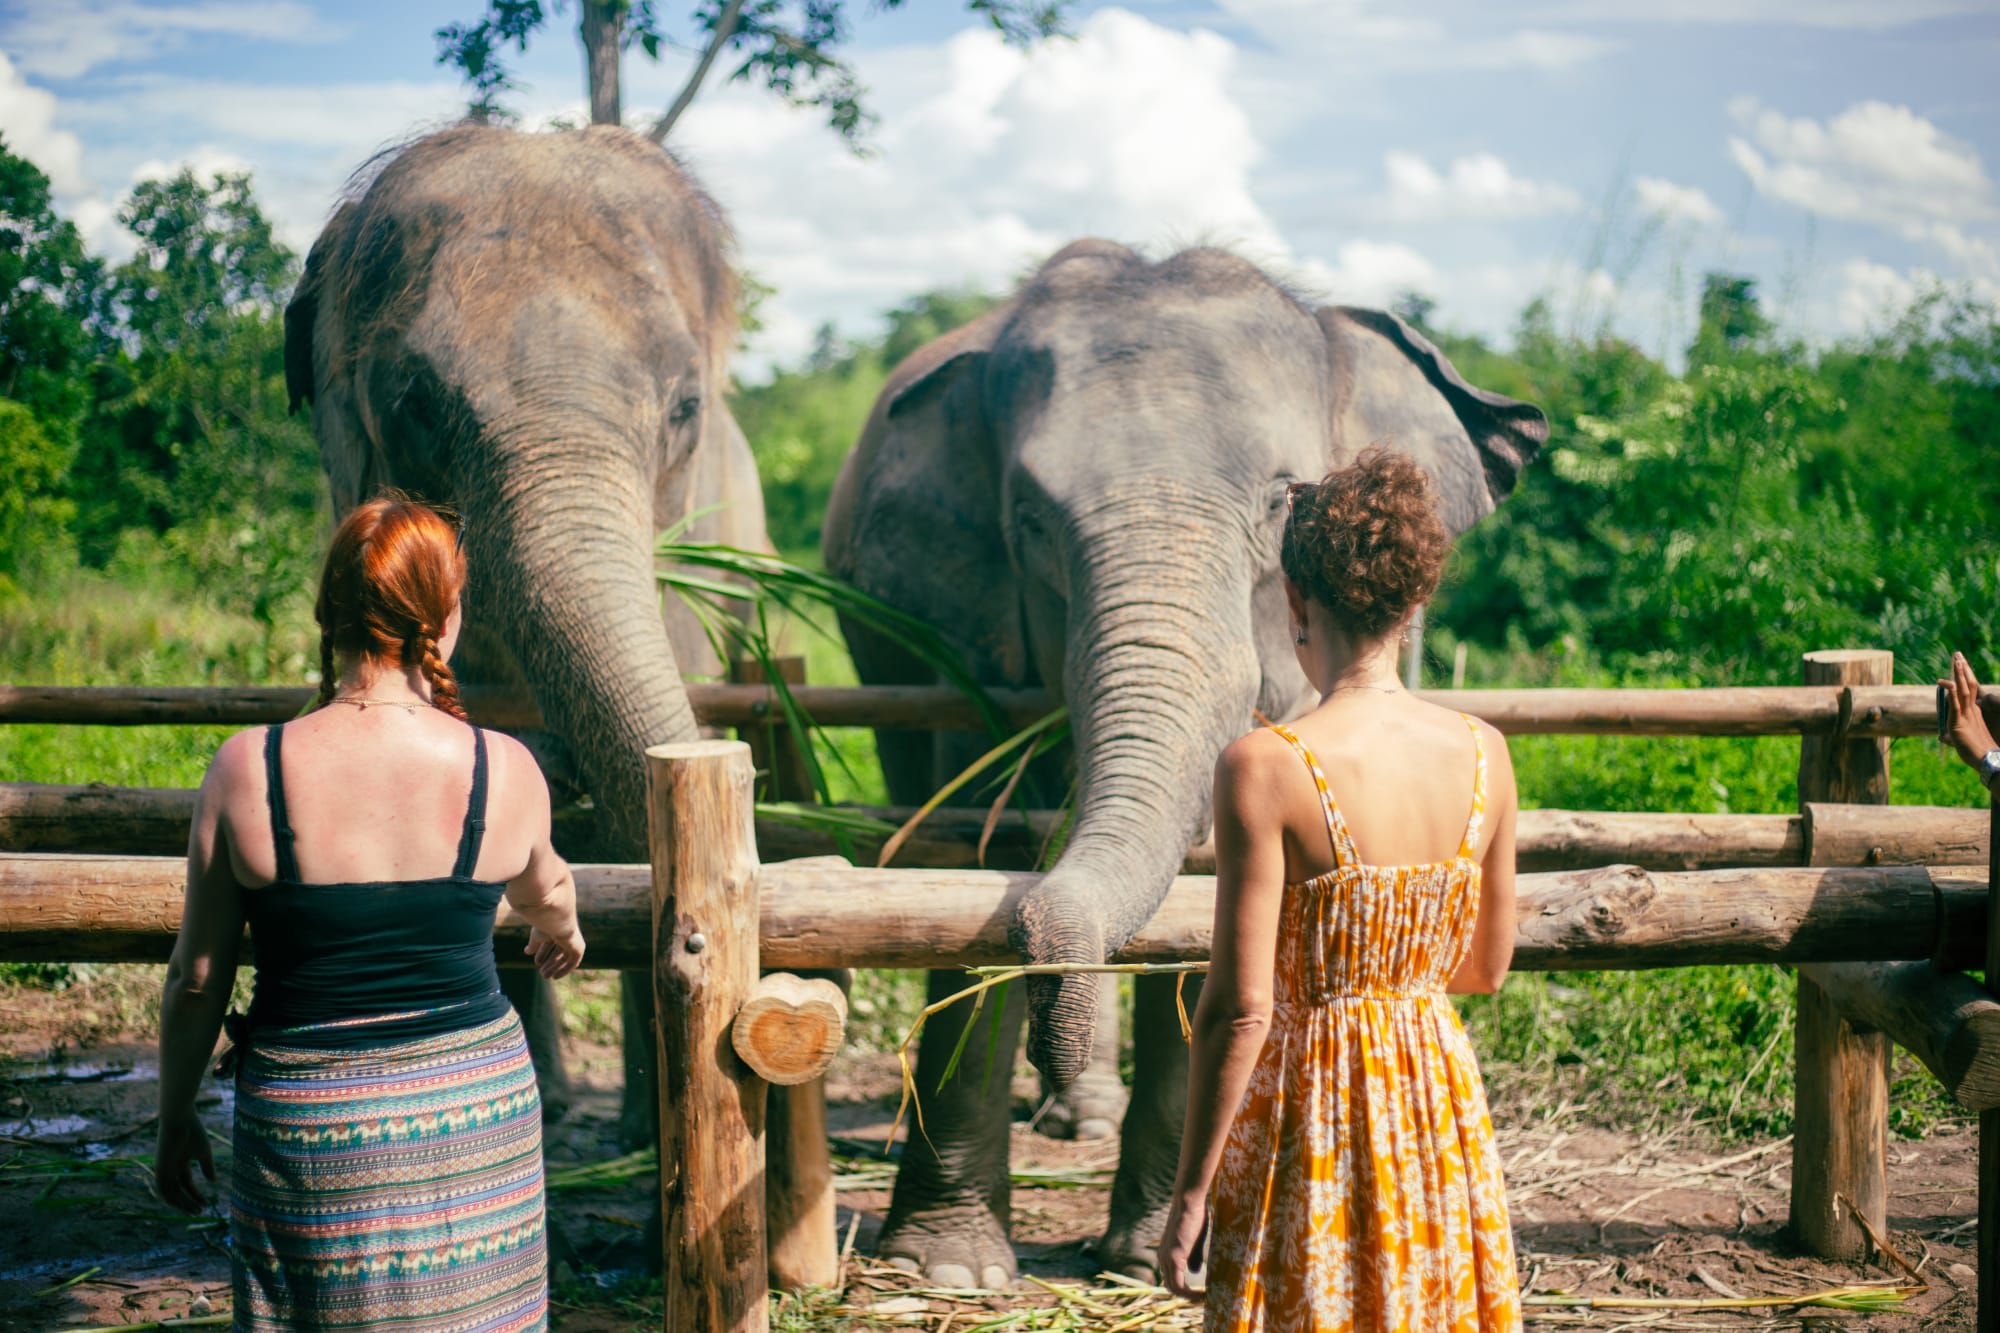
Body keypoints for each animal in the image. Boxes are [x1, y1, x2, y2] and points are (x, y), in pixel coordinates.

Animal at [822, 239, 1548, 1285]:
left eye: (1283, 499)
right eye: (1028, 519)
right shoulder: (955, 633)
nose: (1048, 1040)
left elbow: (1221, 886)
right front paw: (950, 1271)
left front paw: (1146, 1263)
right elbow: (977, 845)